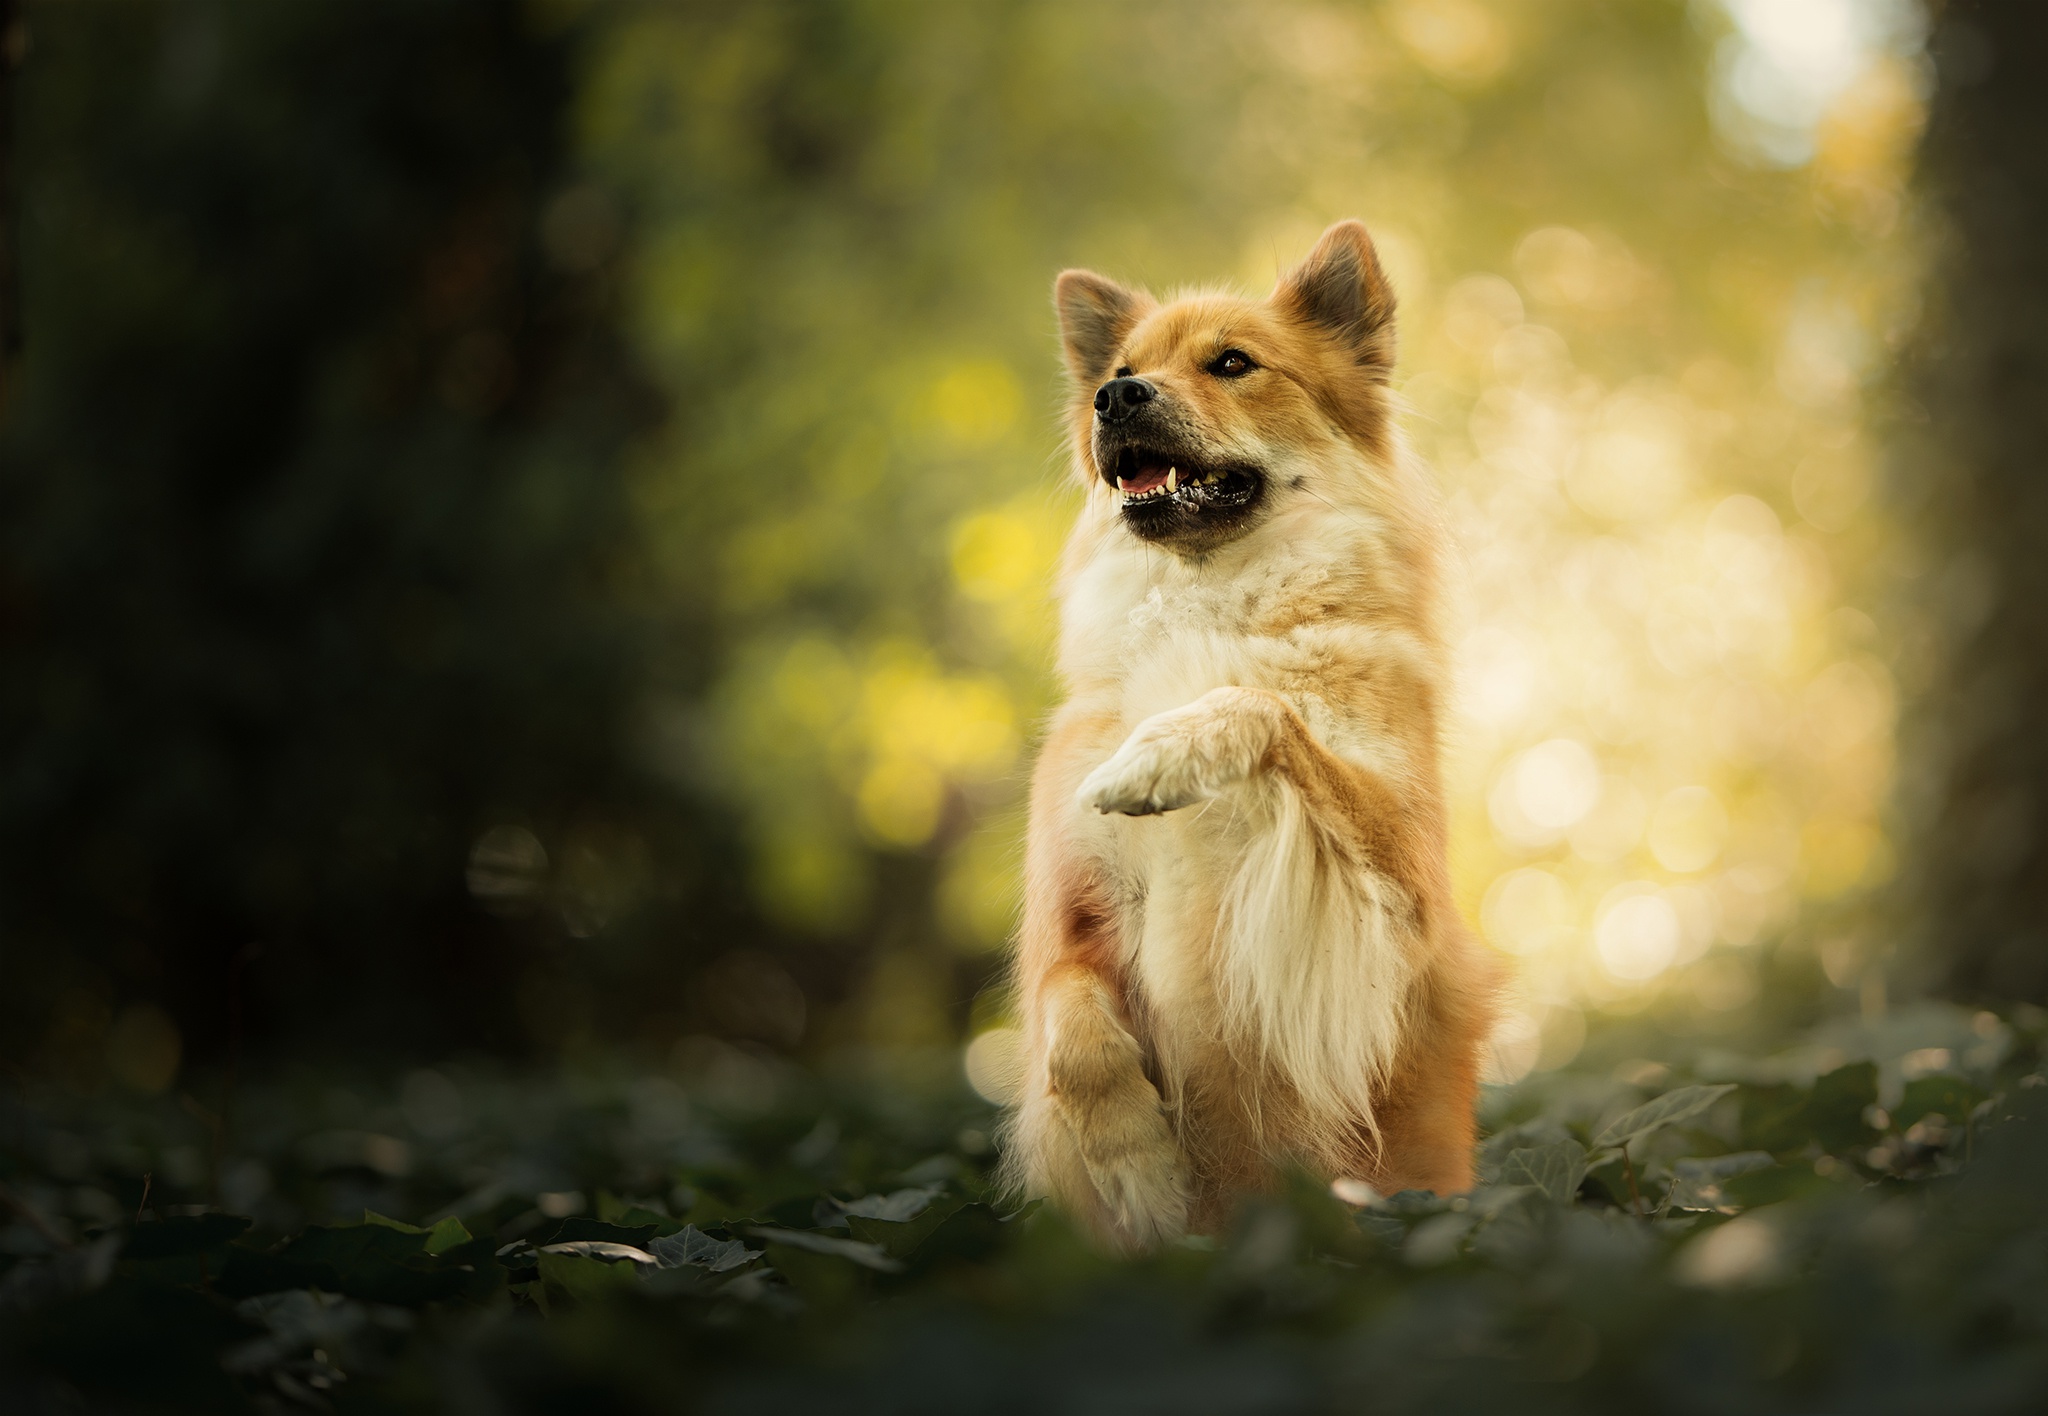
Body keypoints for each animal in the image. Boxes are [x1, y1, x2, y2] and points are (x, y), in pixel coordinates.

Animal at [1003, 216, 1499, 1245]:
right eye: (1123, 368)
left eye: (1232, 364)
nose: (1116, 396)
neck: (1209, 599)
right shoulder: (1072, 916)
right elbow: (1070, 1025)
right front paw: (1137, 1168)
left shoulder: (1400, 902)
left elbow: (1259, 706)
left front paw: (1161, 752)